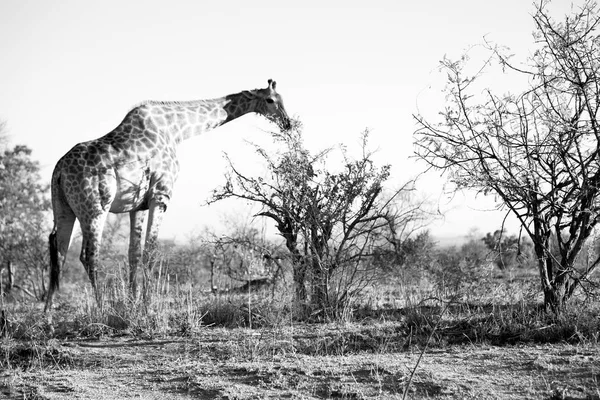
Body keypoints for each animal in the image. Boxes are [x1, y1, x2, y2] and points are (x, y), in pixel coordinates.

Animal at [44, 78, 290, 310]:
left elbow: (134, 254)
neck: (175, 130)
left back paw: (47, 314)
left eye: (282, 98)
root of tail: (59, 170)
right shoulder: (161, 195)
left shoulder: (137, 205)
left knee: (59, 253)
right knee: (88, 255)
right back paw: (102, 308)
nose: (287, 123)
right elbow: (151, 251)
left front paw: (133, 303)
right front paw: (147, 305)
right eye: (270, 100)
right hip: (95, 208)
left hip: (64, 209)